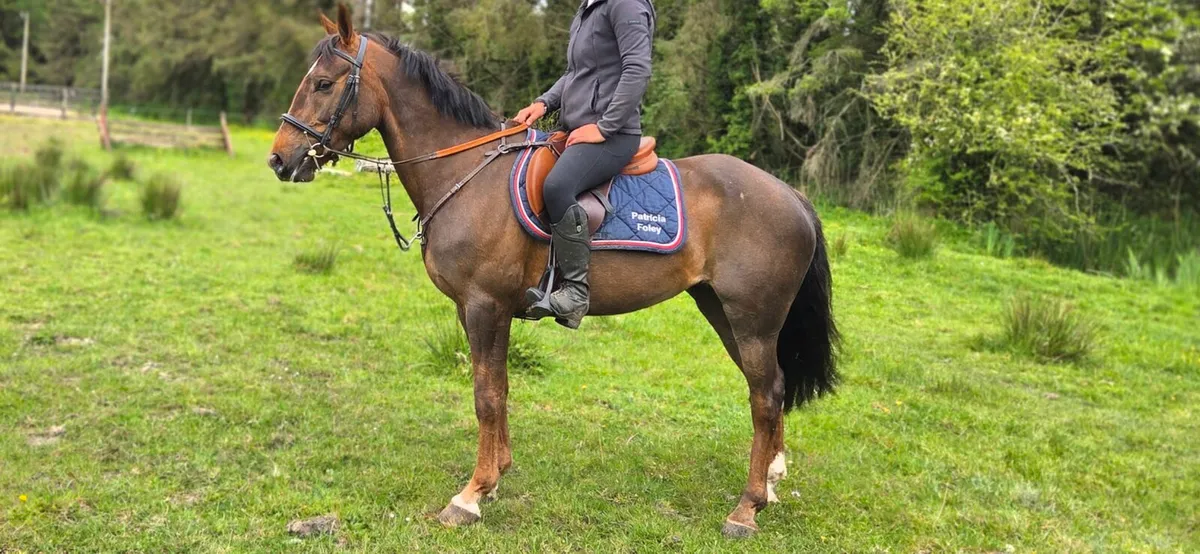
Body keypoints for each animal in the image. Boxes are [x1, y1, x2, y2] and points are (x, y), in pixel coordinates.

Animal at [267, 5, 838, 538]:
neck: (466, 175)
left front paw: (471, 495)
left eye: (323, 83)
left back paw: (746, 508)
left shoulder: (485, 305)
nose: (279, 160)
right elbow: (498, 388)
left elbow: (486, 396)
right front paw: (497, 475)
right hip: (724, 312)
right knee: (771, 389)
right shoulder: (477, 310)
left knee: (765, 395)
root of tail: (790, 194)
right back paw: (771, 482)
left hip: (752, 319)